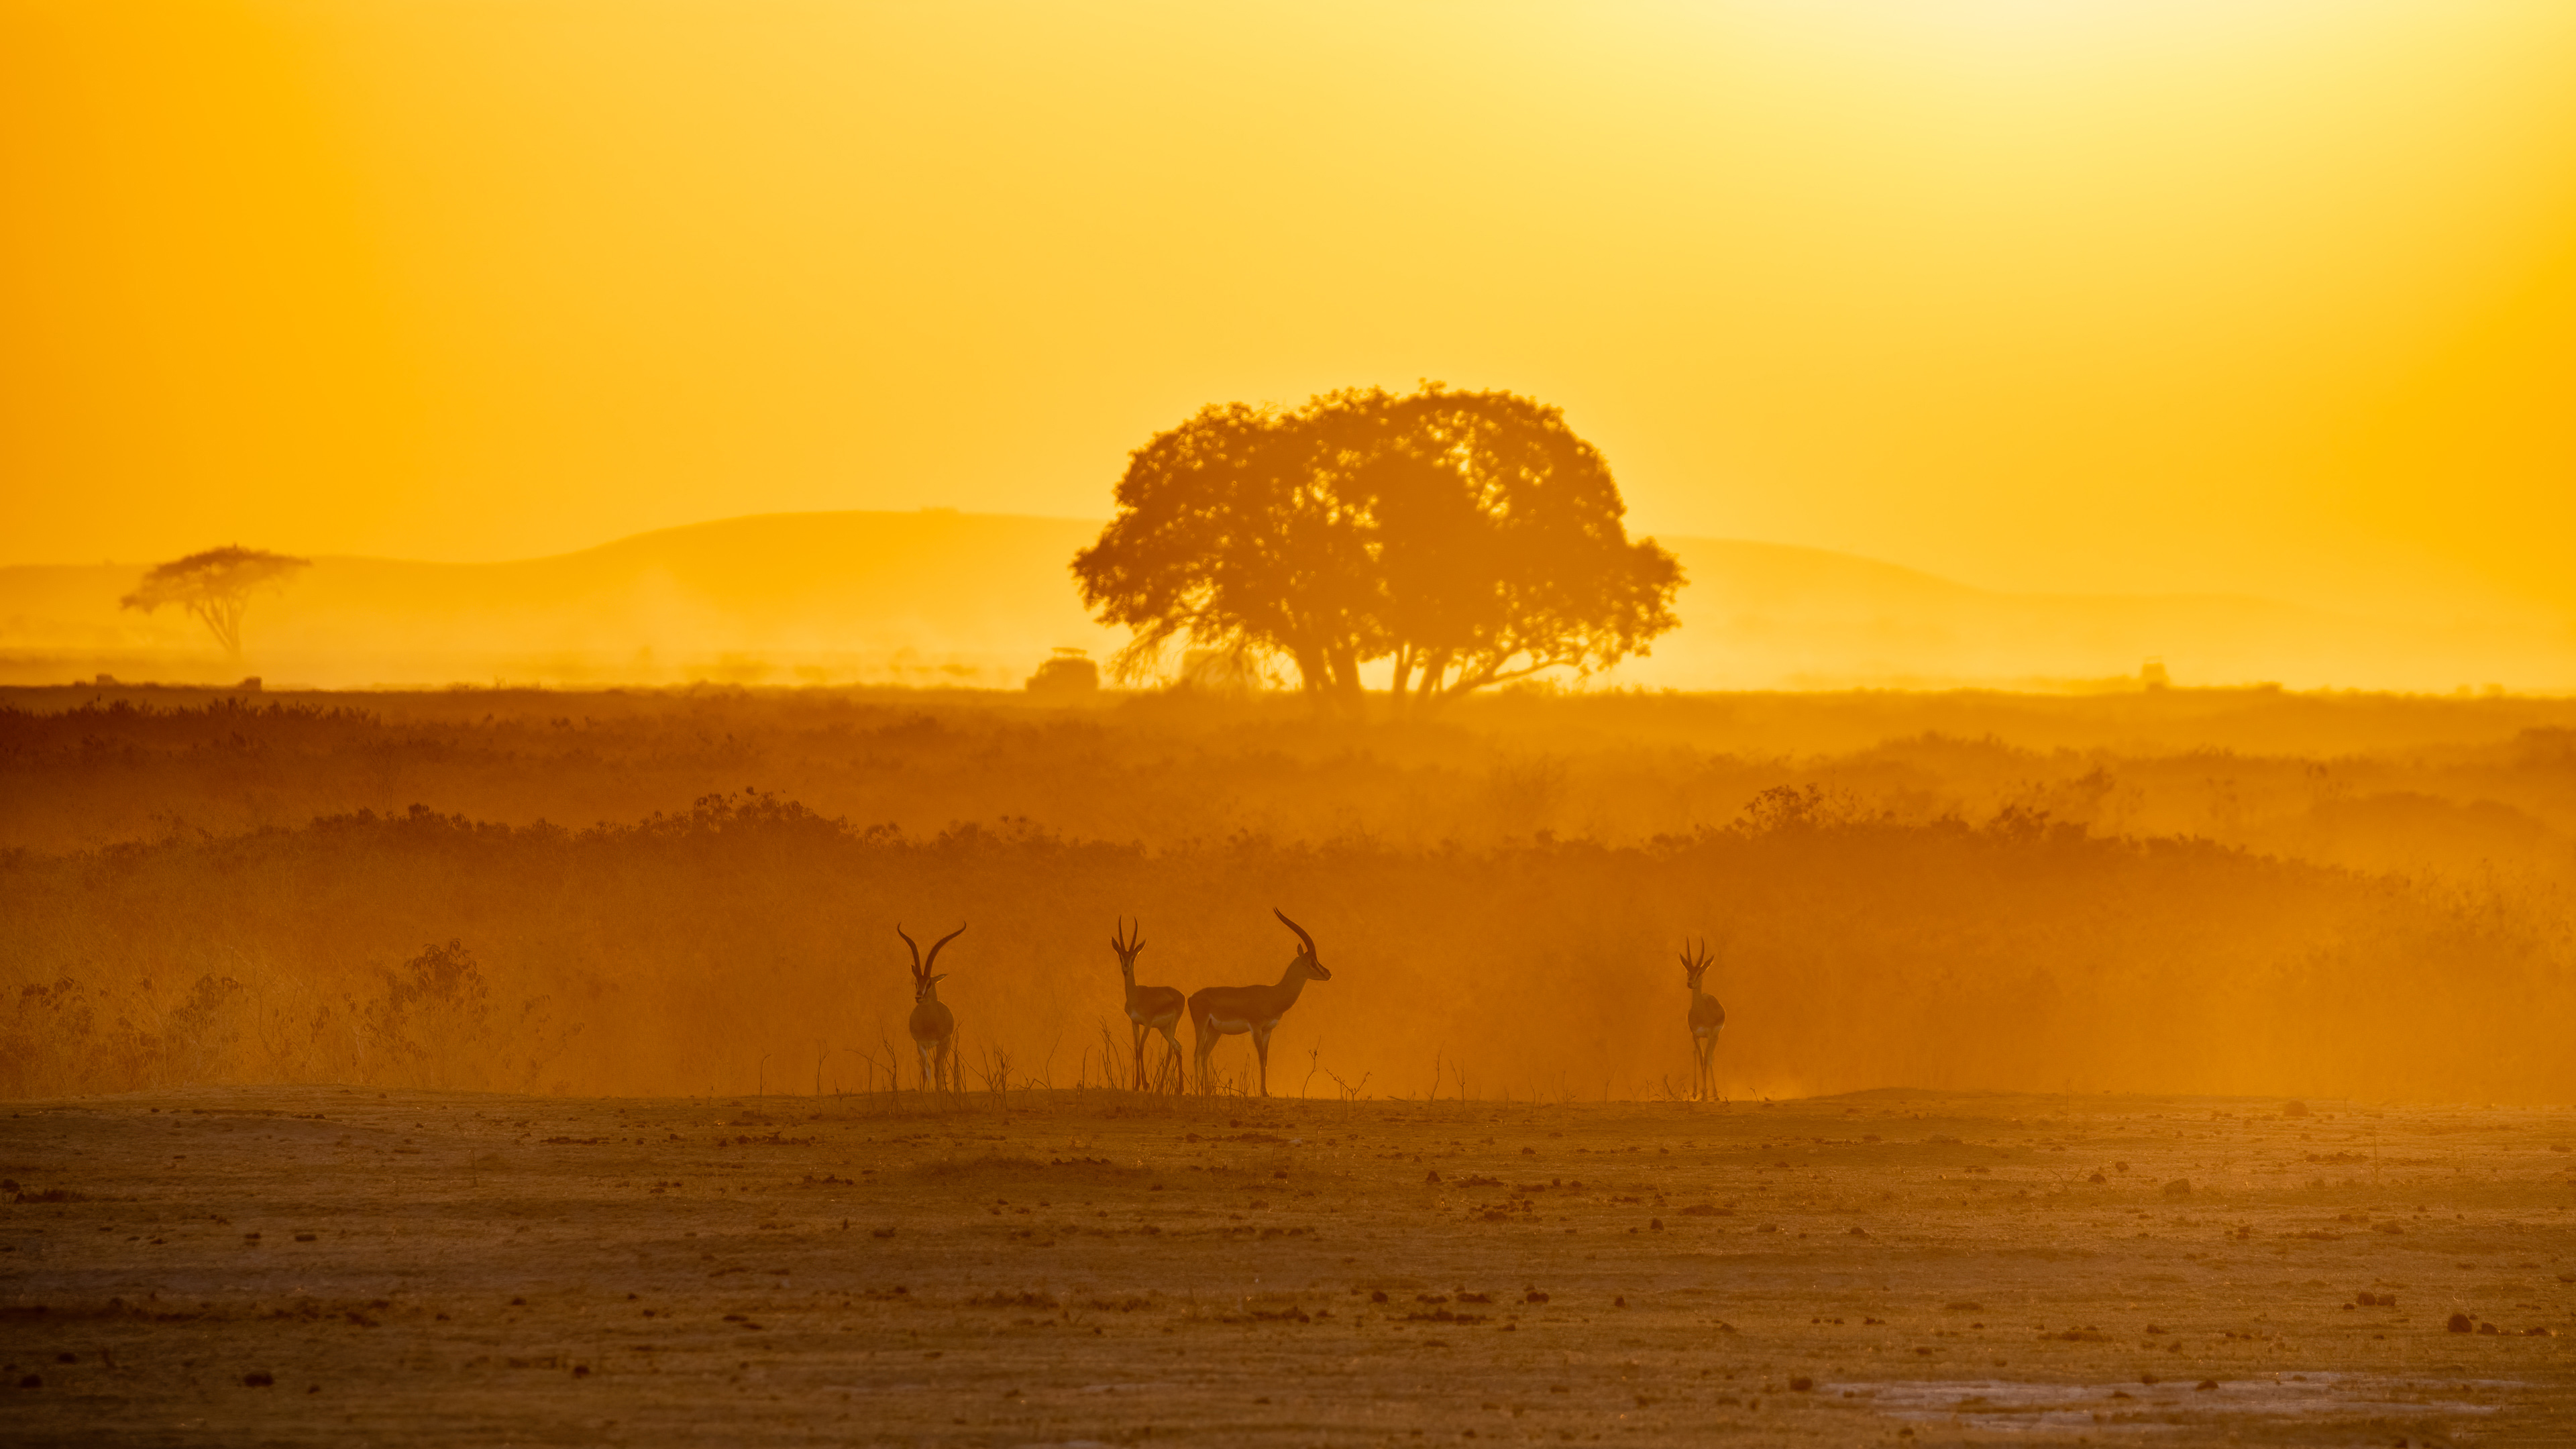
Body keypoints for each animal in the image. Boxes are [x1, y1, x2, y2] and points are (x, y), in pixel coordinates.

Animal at [900, 923, 966, 1092]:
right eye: (916, 982)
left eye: (929, 983)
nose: (918, 997)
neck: (930, 1024)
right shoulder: (921, 1045)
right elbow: (927, 1071)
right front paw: (927, 1091)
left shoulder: (943, 1043)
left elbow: (938, 1070)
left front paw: (939, 1092)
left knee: (940, 1068)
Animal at [1110, 918, 1186, 1093]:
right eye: (1121, 955)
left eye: (1133, 957)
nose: (1125, 968)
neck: (1136, 997)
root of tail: (1182, 996)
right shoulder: (1135, 1023)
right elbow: (1136, 1049)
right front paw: (1137, 1084)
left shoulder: (1148, 1025)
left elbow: (1141, 1048)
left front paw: (1145, 1084)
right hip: (1164, 1029)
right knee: (1178, 1048)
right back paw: (1178, 1089)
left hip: (1172, 1026)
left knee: (1171, 1051)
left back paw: (1162, 1088)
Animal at [1188, 908, 1331, 1096]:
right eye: (1312, 961)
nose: (1328, 973)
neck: (1273, 995)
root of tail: (1191, 997)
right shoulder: (1255, 1028)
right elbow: (1261, 1057)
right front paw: (1264, 1093)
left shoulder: (1268, 1031)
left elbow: (1266, 1059)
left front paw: (1265, 1091)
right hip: (1202, 1026)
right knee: (1197, 1054)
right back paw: (1198, 1091)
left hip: (1215, 1031)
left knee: (1204, 1054)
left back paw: (1207, 1091)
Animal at [1681, 938, 1726, 1103]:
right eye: (1688, 971)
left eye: (1700, 972)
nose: (1690, 983)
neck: (1702, 1014)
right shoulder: (1695, 1035)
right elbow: (1700, 1059)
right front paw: (1702, 1094)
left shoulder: (1711, 1034)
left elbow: (1706, 1060)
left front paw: (1707, 1095)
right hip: (1699, 1038)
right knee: (1696, 1054)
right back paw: (1696, 1092)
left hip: (1715, 1037)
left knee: (1710, 1058)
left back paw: (1715, 1095)